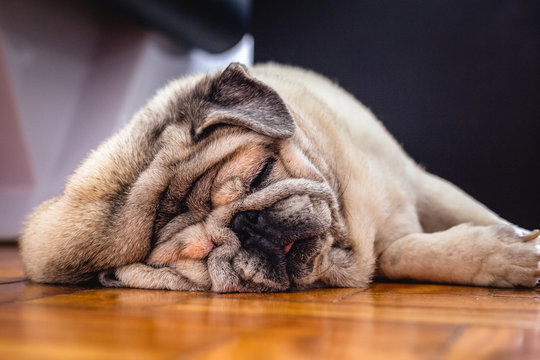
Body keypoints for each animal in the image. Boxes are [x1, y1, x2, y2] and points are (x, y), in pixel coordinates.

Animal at [19, 62, 536, 292]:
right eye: (197, 254)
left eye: (261, 173)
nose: (247, 226)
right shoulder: (385, 246)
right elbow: (402, 254)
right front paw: (503, 257)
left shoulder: (419, 181)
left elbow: (475, 214)